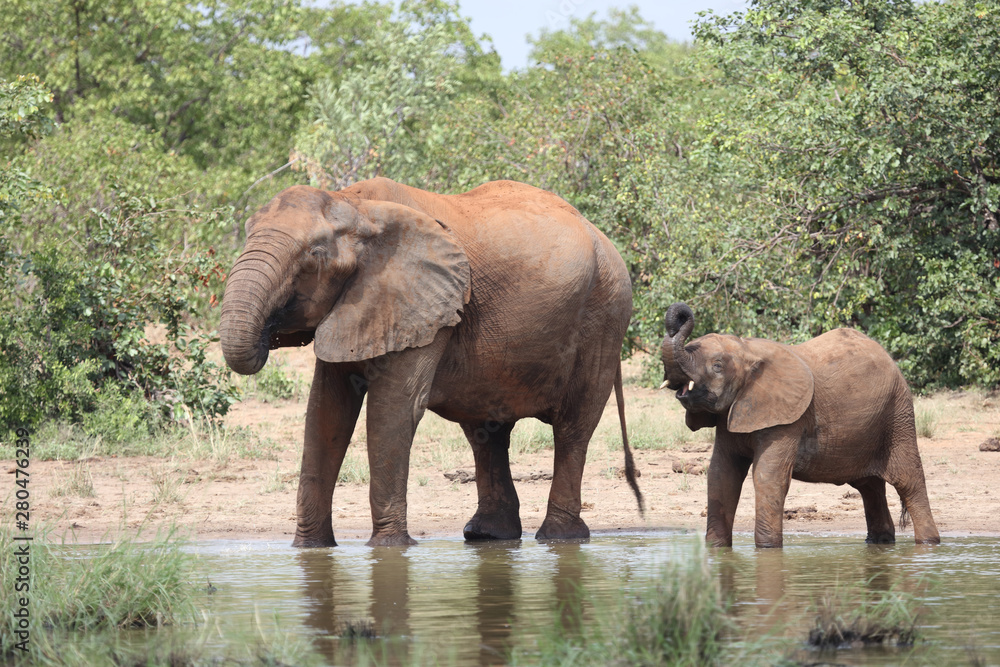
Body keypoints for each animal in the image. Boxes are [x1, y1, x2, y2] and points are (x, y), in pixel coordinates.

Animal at [220, 177, 642, 547]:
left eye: (314, 256)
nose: (269, 332)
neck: (357, 206)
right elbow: (326, 412)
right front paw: (309, 551)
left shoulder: (423, 304)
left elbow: (392, 409)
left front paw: (389, 548)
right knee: (486, 434)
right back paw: (487, 536)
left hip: (606, 313)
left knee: (573, 428)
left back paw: (558, 538)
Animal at [660, 302, 940, 548]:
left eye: (717, 366)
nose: (681, 314)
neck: (747, 349)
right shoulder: (731, 415)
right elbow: (721, 474)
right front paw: (716, 549)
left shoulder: (787, 419)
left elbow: (767, 476)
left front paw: (768, 549)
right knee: (870, 487)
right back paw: (880, 542)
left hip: (898, 415)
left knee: (909, 482)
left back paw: (929, 543)